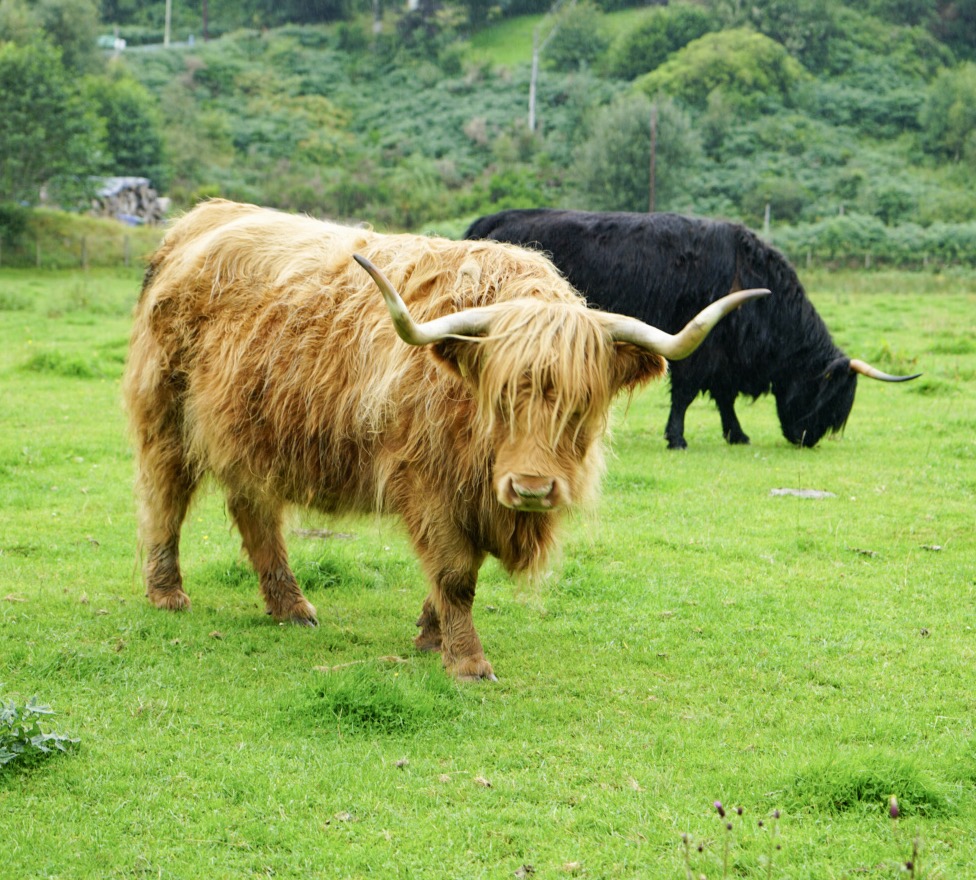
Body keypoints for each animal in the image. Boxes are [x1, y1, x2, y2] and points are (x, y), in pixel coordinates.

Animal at [123, 199, 767, 680]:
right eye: (501, 398)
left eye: (581, 405)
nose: (532, 488)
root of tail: (201, 218)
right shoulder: (428, 483)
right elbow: (456, 573)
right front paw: (467, 661)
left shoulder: (473, 493)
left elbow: (455, 573)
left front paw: (430, 636)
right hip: (166, 417)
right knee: (164, 499)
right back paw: (167, 593)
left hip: (248, 434)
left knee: (254, 511)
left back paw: (292, 607)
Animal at [465, 209, 919, 449]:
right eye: (828, 396)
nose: (806, 438)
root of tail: (491, 221)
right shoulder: (700, 347)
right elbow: (686, 394)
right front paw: (678, 438)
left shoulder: (724, 358)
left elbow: (724, 398)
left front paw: (737, 434)